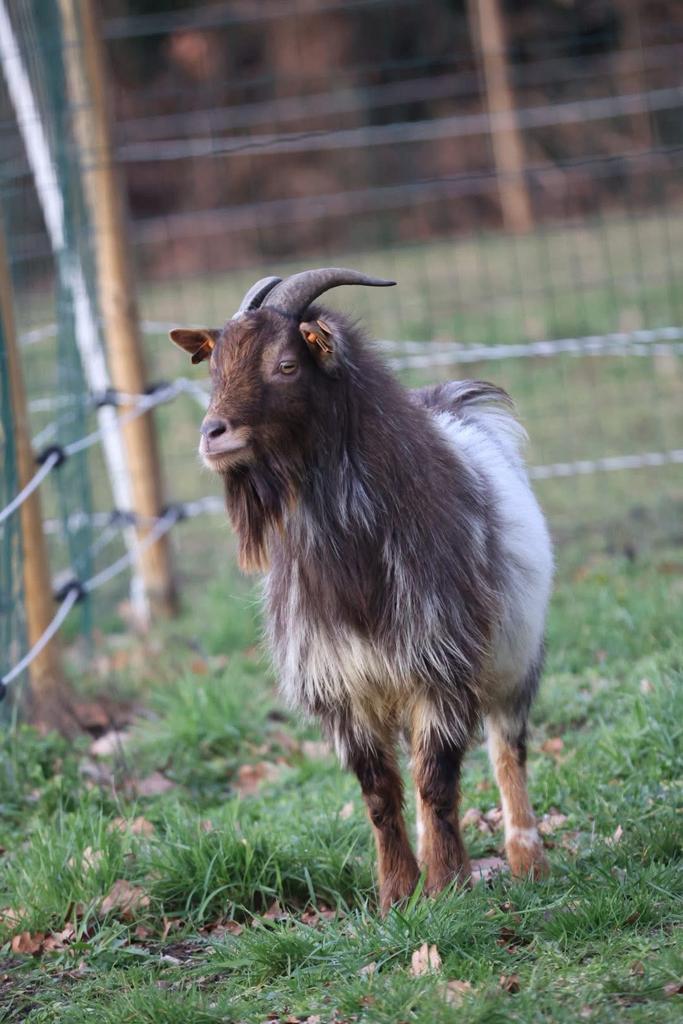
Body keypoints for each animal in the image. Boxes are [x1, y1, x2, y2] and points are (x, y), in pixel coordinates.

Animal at [171, 268, 554, 913]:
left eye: (286, 364)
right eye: (214, 365)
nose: (212, 435)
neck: (351, 553)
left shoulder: (441, 665)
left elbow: (436, 782)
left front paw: (447, 886)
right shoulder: (344, 687)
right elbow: (380, 793)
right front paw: (397, 894)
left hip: (513, 664)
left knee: (508, 752)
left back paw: (529, 861)